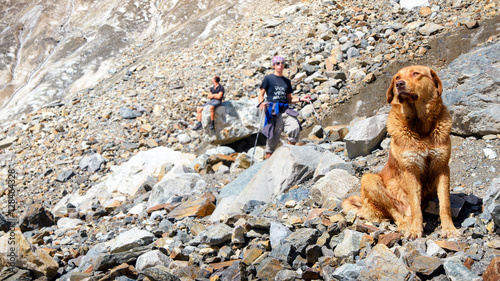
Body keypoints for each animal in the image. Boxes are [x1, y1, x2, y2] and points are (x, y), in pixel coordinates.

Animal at [342, 65, 458, 238]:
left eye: (416, 73)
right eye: (397, 77)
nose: (399, 84)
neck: (420, 128)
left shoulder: (442, 168)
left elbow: (445, 203)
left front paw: (449, 229)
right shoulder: (410, 170)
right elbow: (415, 206)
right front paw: (415, 230)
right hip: (369, 180)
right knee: (395, 213)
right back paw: (405, 224)